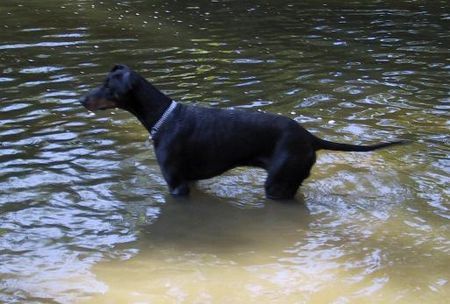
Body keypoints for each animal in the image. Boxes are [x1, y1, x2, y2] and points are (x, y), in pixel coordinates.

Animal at [81, 64, 404, 200]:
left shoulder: (177, 186)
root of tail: (311, 137)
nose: (82, 100)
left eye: (108, 86)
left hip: (277, 184)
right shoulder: (189, 181)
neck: (162, 116)